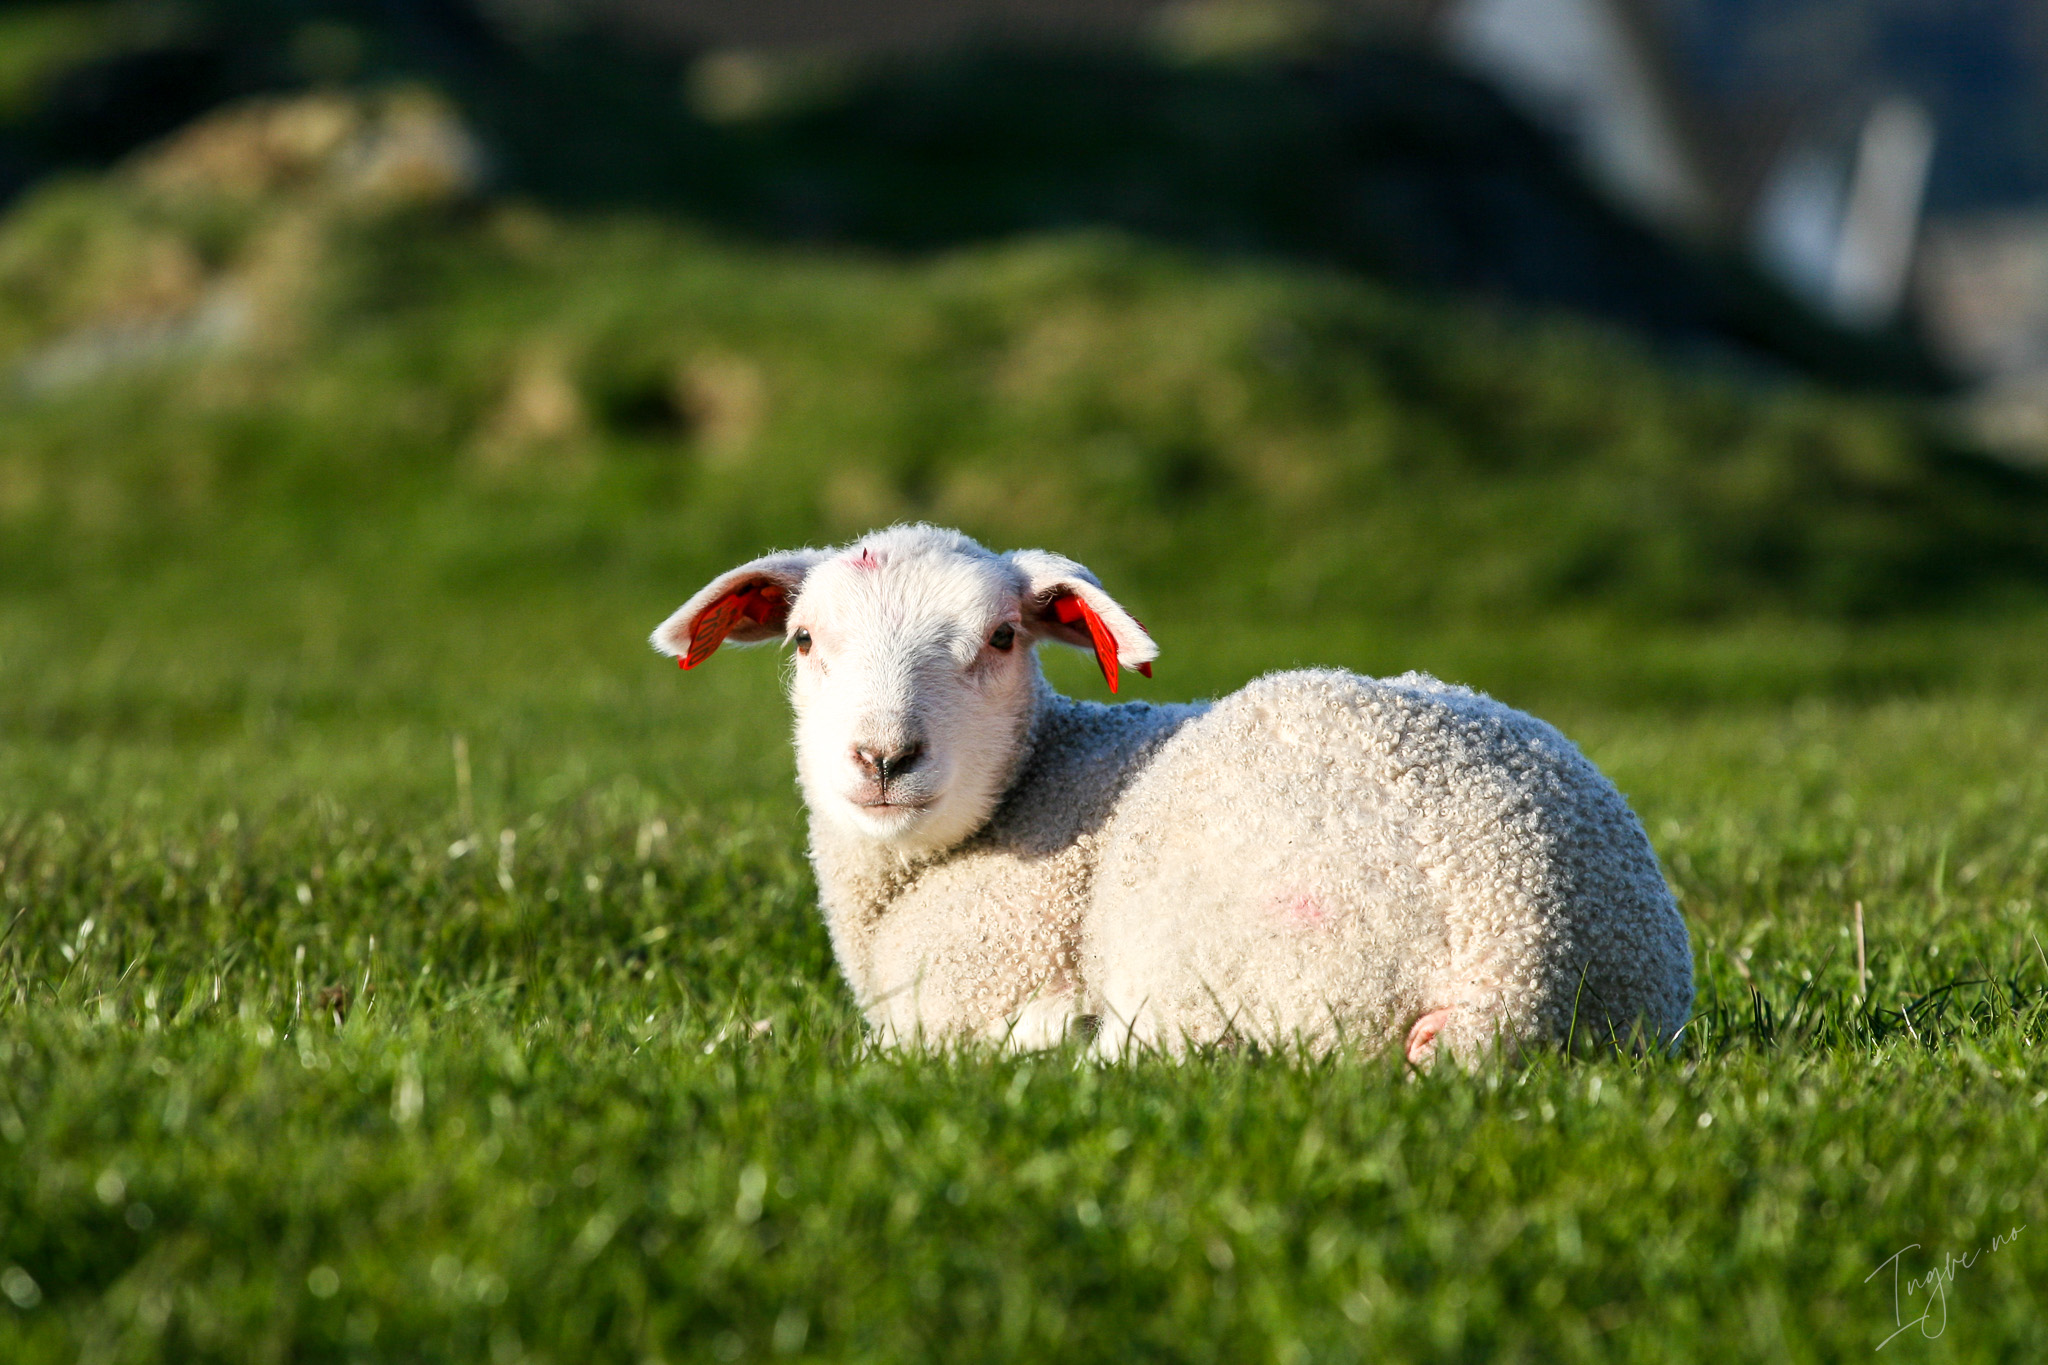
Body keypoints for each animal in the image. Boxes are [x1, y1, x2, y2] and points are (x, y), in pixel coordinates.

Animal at [651, 523, 1693, 1062]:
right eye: (804, 641)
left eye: (1002, 638)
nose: (883, 756)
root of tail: (1515, 963)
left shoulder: (955, 984)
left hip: (1229, 957)